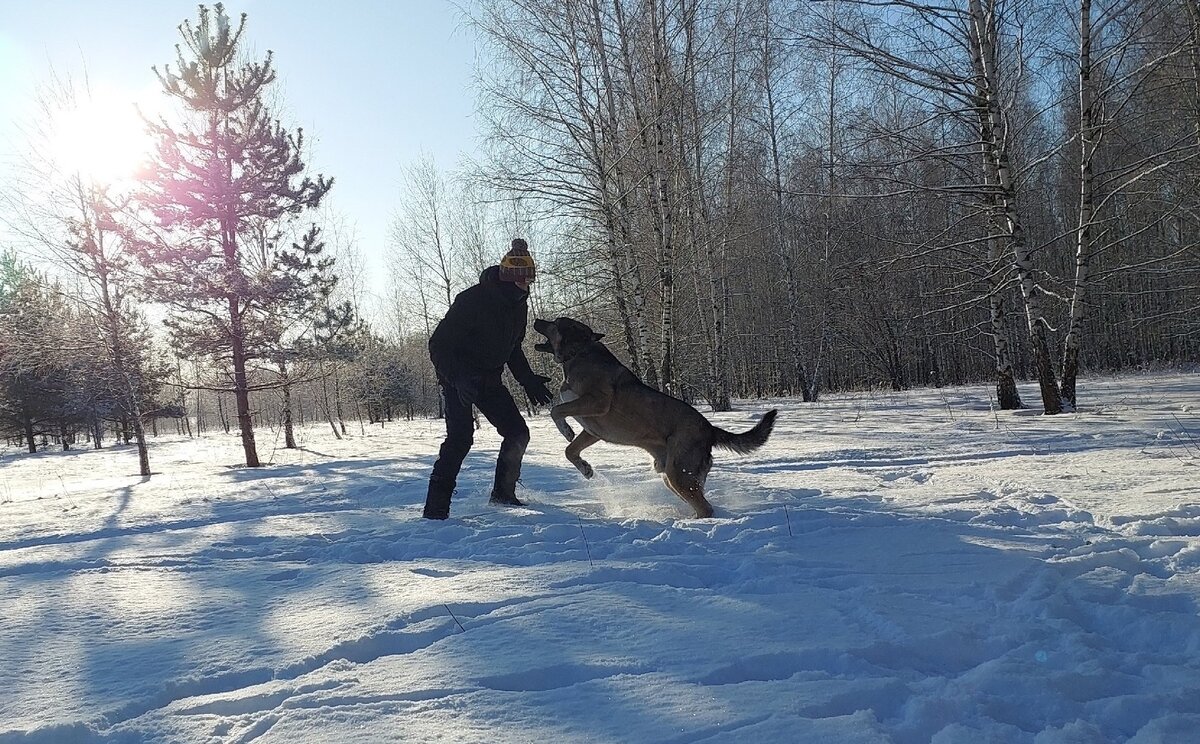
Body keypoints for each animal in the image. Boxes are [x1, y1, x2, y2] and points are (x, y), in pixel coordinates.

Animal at [532, 314, 777, 518]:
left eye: (555, 323)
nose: (535, 320)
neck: (578, 353)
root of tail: (710, 429)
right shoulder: (592, 430)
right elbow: (570, 450)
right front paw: (585, 469)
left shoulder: (597, 402)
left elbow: (556, 411)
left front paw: (565, 430)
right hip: (672, 475)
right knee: (701, 504)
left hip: (679, 473)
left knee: (705, 508)